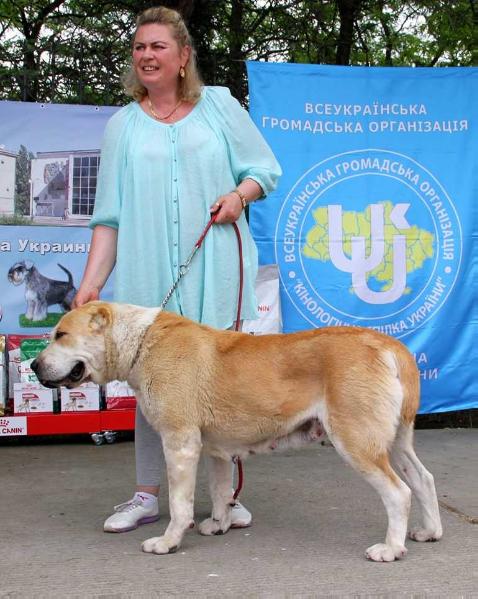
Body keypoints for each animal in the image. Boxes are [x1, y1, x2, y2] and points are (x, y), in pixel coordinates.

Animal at [31, 302, 442, 564]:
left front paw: (168, 542)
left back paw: (390, 549)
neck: (141, 341)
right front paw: (219, 524)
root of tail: (390, 345)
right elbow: (220, 490)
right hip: (396, 441)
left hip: (357, 441)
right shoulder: (214, 449)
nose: (33, 364)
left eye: (61, 334)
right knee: (423, 479)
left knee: (399, 493)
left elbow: (180, 504)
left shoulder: (180, 443)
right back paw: (429, 532)